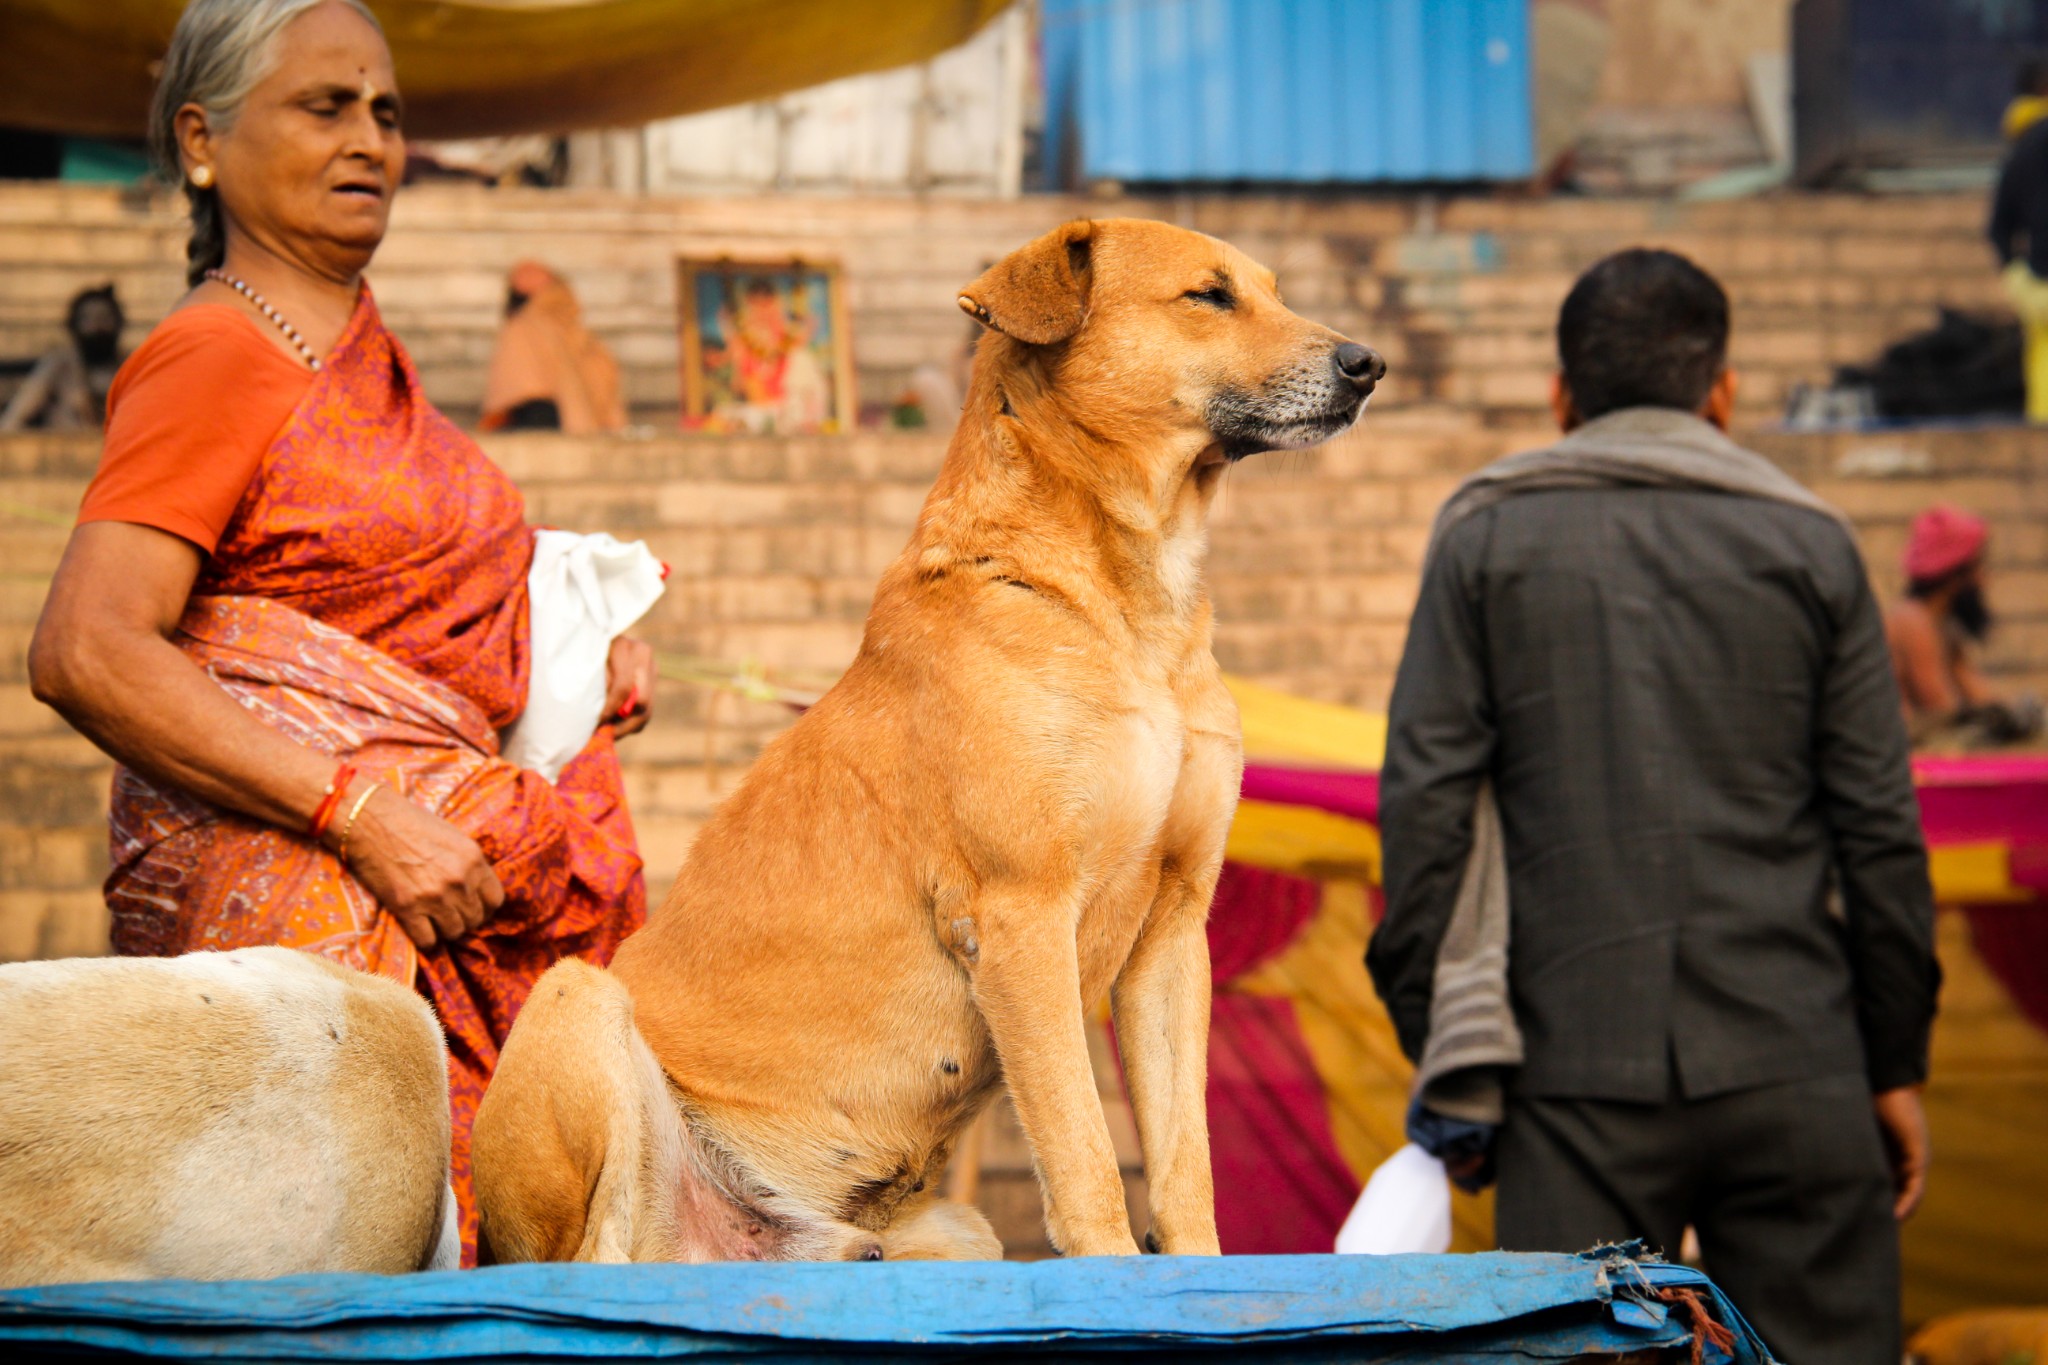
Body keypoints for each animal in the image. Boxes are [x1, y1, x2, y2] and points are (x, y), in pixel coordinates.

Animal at [471, 218, 1384, 1268]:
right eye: (1208, 295)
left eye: (1273, 289)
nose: (1369, 364)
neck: (1119, 604)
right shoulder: (1023, 914)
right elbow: (1083, 1150)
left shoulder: (1174, 927)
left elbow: (1183, 1156)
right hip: (575, 1002)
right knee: (591, 1261)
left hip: (957, 1226)